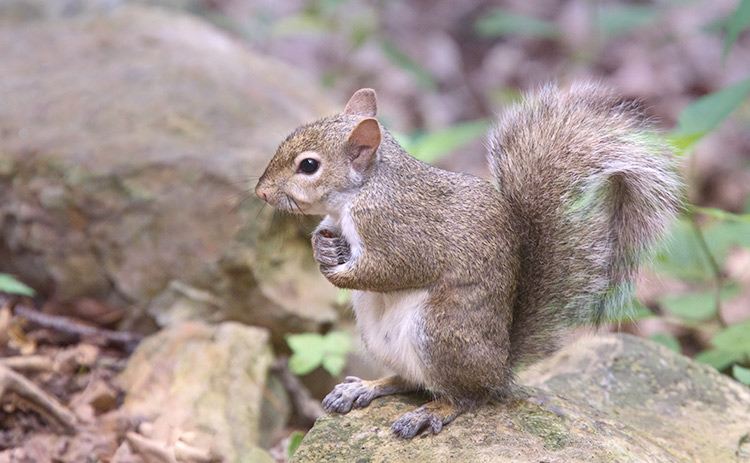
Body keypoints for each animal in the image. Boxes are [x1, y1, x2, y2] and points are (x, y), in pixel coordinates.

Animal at [255, 82, 681, 439]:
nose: (261, 193)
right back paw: (367, 387)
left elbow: (392, 269)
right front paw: (321, 249)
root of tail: (499, 369)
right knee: (412, 381)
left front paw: (338, 274)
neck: (361, 192)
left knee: (467, 397)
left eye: (309, 165)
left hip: (440, 332)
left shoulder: (400, 232)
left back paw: (431, 412)